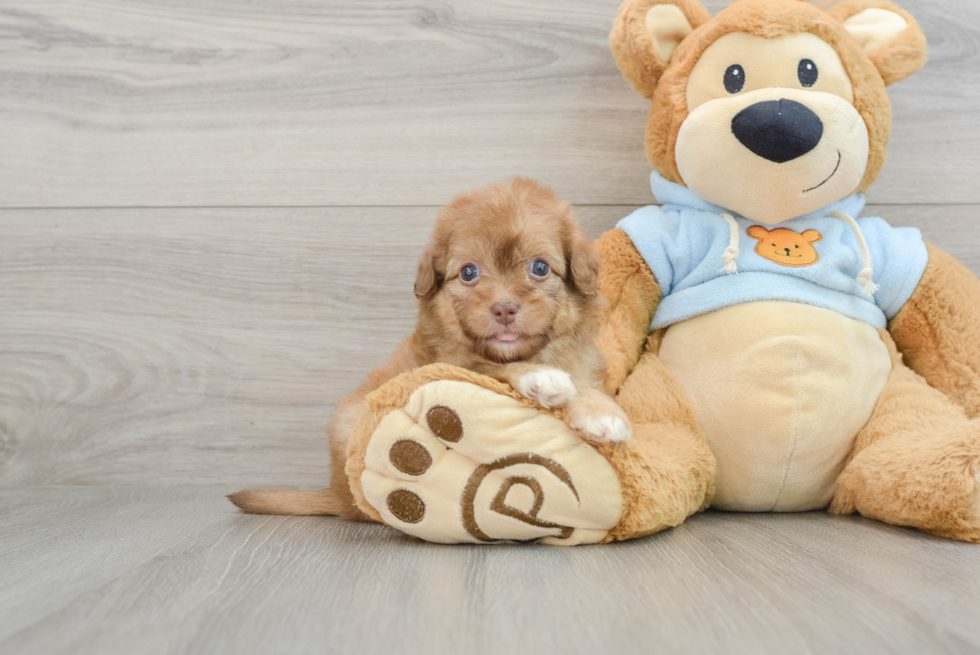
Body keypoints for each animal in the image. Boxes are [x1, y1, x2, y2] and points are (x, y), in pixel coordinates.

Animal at [229, 178, 628, 516]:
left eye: (540, 268)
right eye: (469, 273)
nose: (503, 309)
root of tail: (336, 495)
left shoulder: (584, 363)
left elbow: (588, 387)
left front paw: (602, 412)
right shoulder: (452, 362)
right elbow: (494, 367)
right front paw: (542, 378)